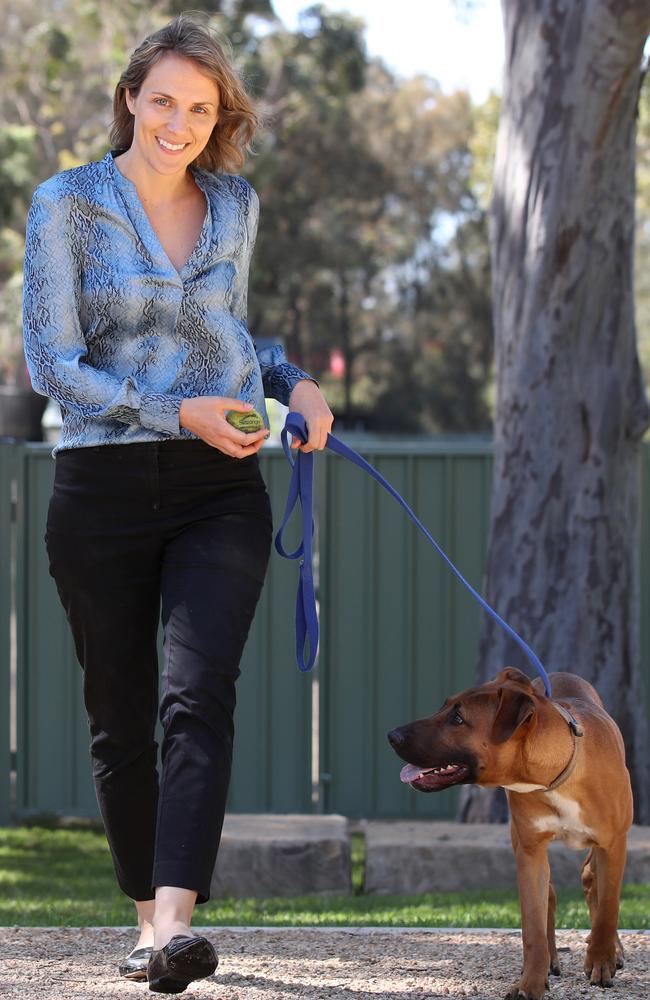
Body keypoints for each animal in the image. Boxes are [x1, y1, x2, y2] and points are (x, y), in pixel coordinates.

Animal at [388, 668, 632, 996]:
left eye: (458, 718)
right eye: (444, 707)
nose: (393, 735)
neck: (556, 776)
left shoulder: (613, 844)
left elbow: (608, 907)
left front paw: (602, 959)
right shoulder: (529, 851)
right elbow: (532, 927)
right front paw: (530, 983)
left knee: (593, 882)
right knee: (552, 895)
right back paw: (551, 960)